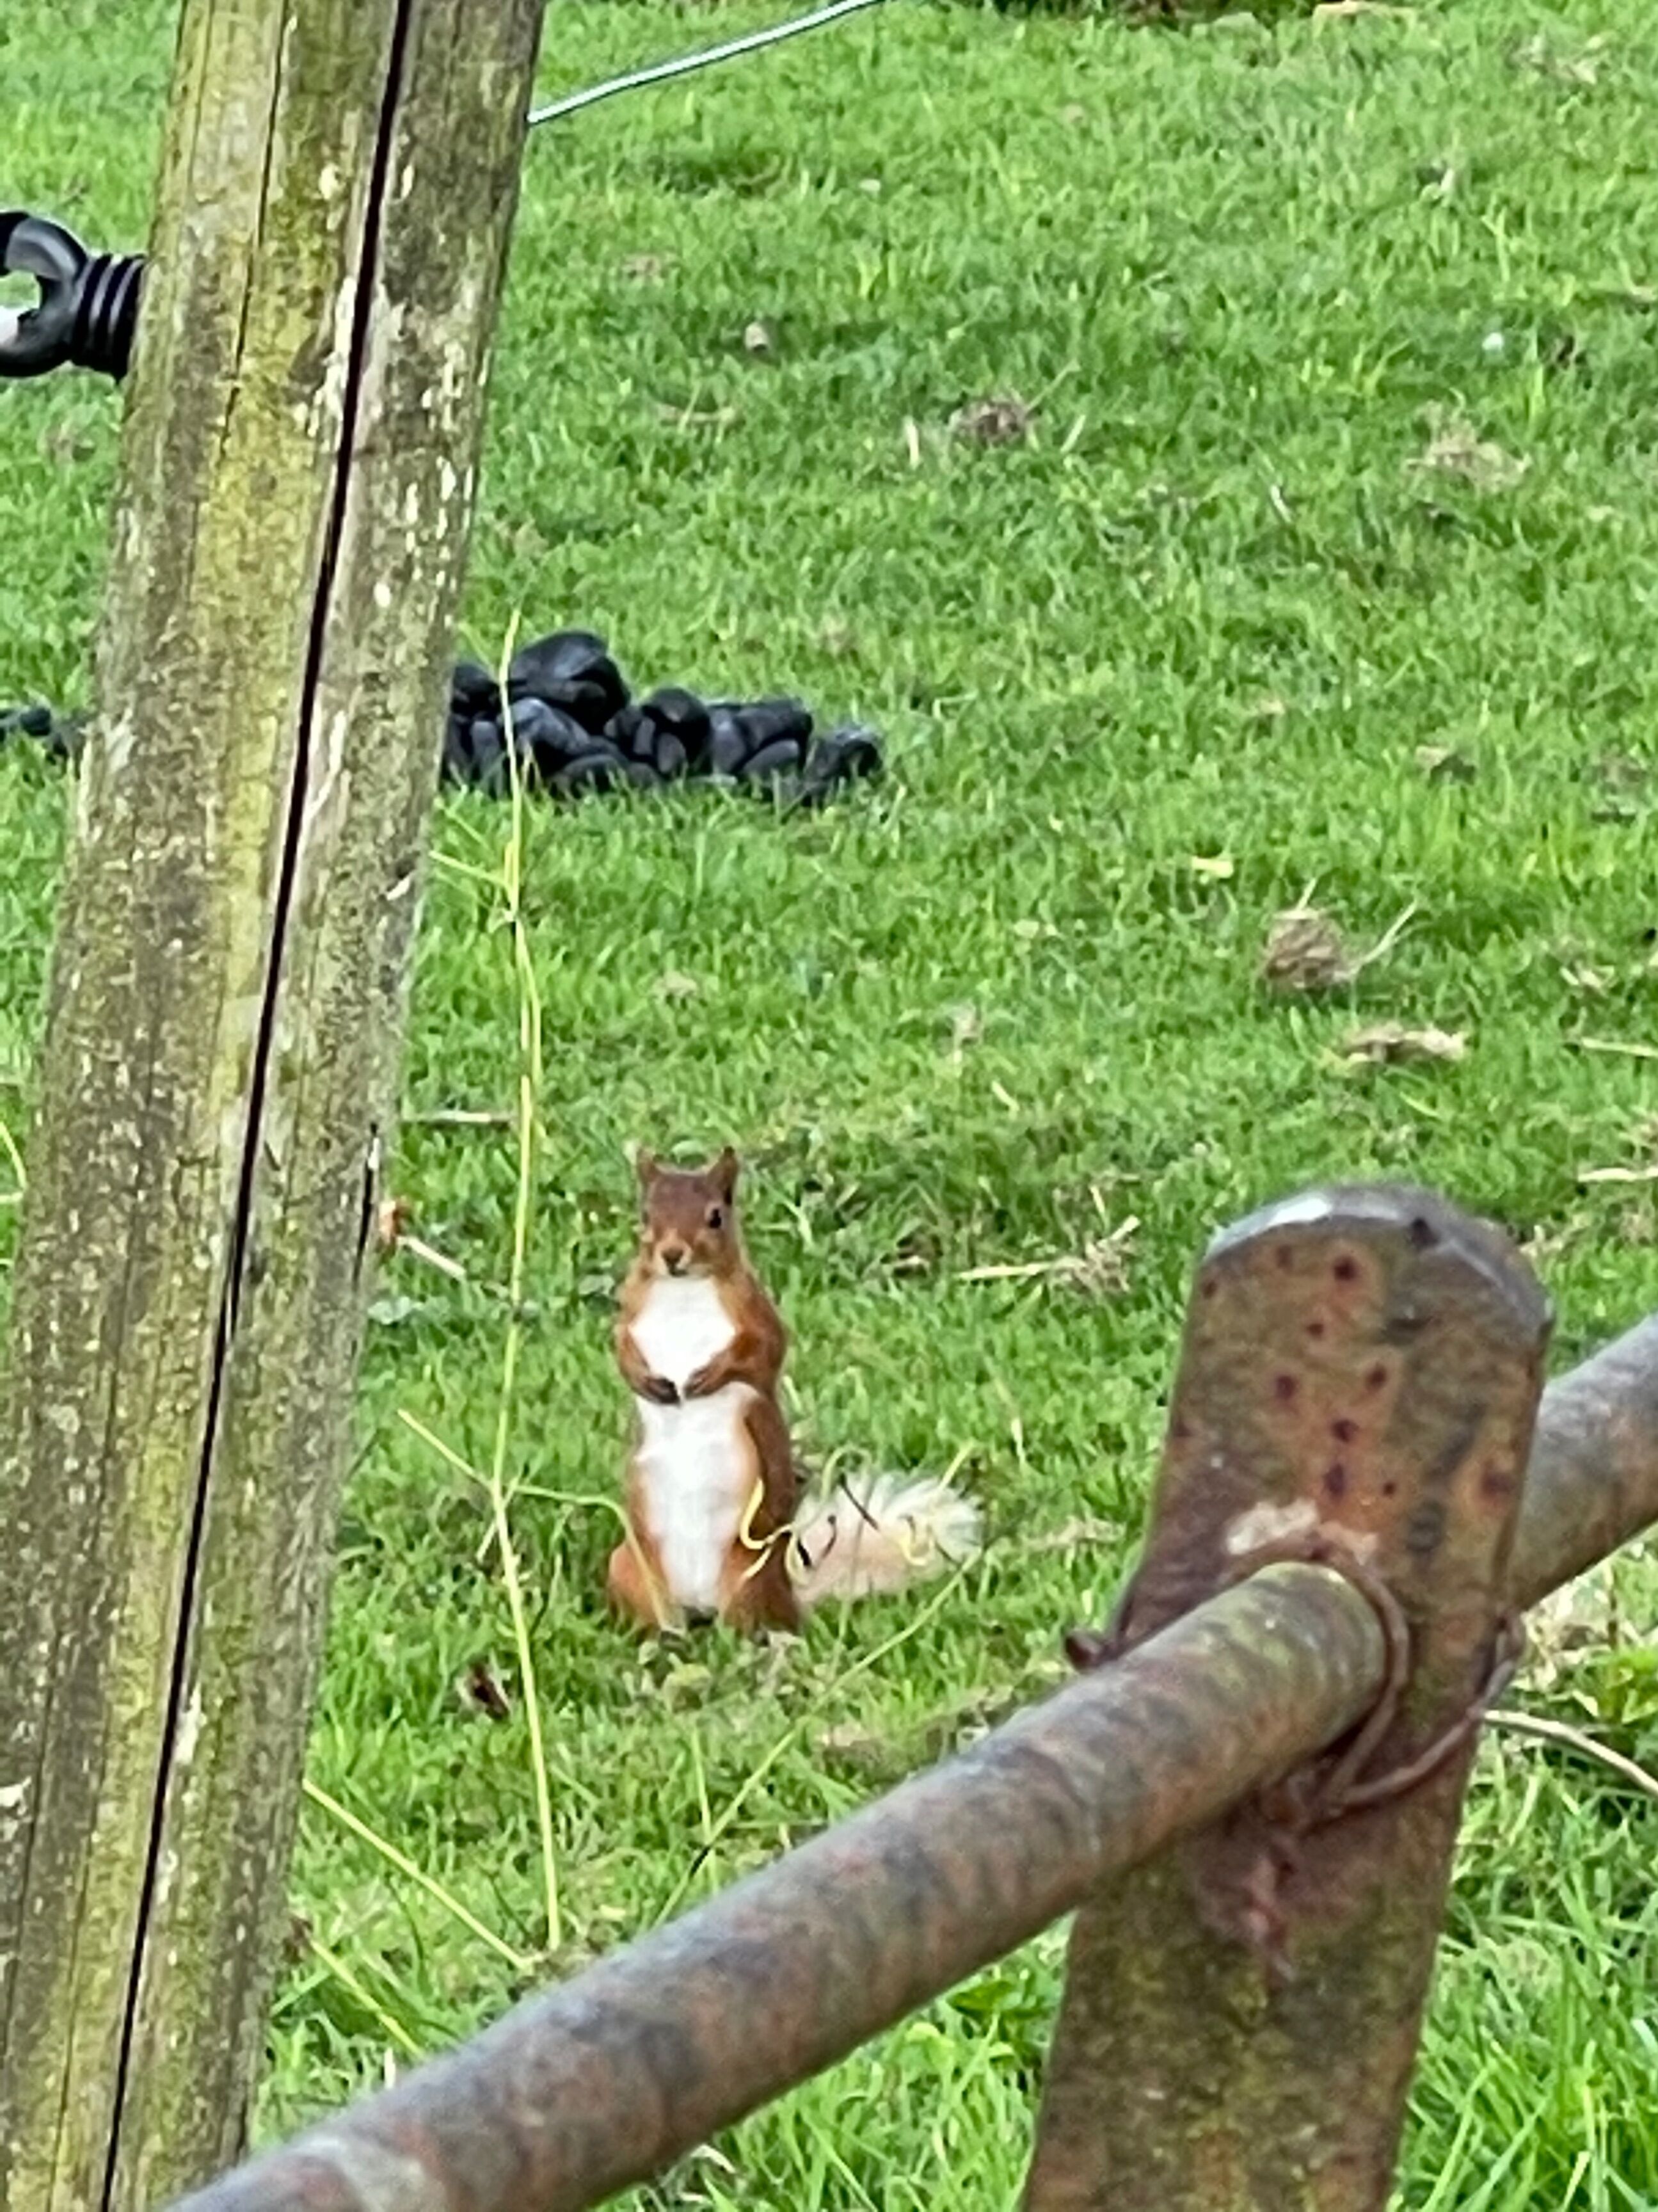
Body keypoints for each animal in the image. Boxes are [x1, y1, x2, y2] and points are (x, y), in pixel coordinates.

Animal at [608, 1147, 983, 1635]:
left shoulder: (756, 1315)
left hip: (749, 1579)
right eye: (645, 1214)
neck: (682, 1290)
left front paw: (708, 1376)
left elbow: (763, 1355)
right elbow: (621, 1349)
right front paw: (646, 1381)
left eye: (716, 1217)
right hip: (630, 1567)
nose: (672, 1255)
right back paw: (664, 1638)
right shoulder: (631, 1312)